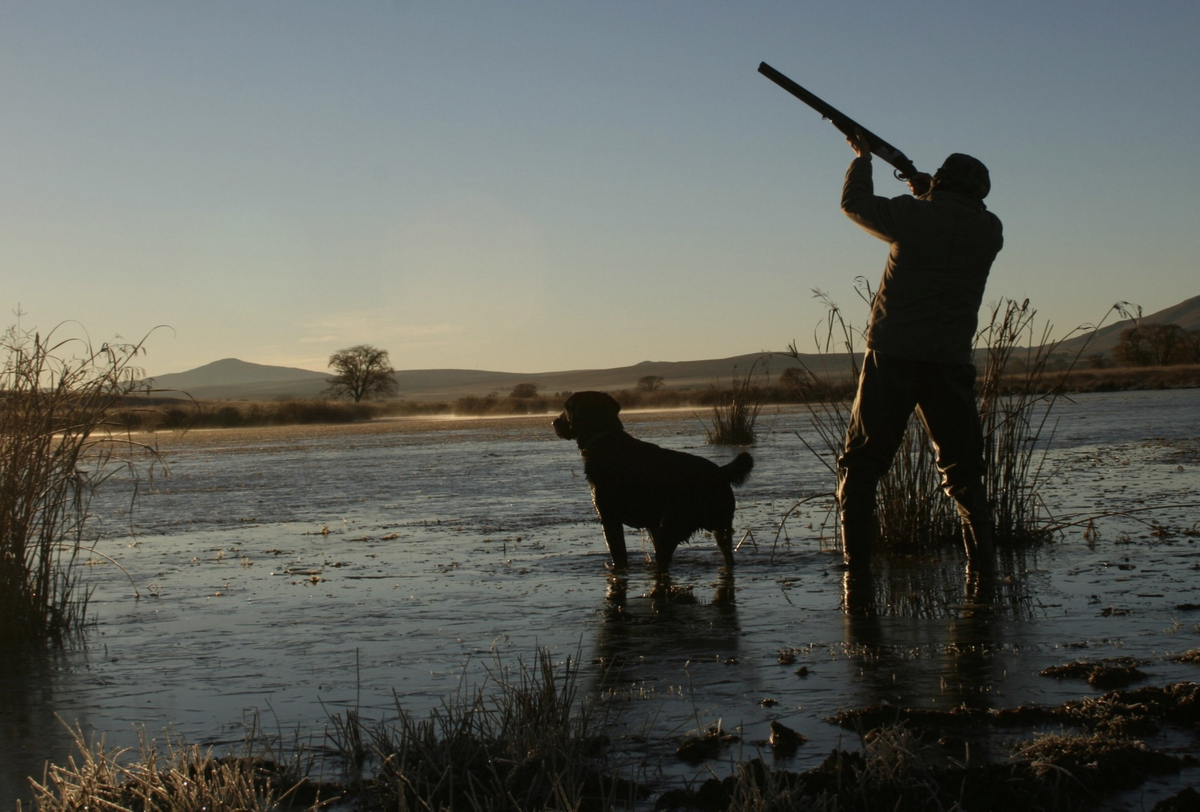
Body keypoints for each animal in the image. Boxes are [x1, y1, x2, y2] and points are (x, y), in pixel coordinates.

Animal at [549, 391, 748, 570]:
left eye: (567, 408)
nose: (554, 422)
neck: (605, 441)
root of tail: (720, 471)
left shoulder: (609, 517)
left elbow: (618, 556)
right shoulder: (652, 523)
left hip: (676, 523)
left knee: (663, 556)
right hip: (719, 525)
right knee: (726, 553)